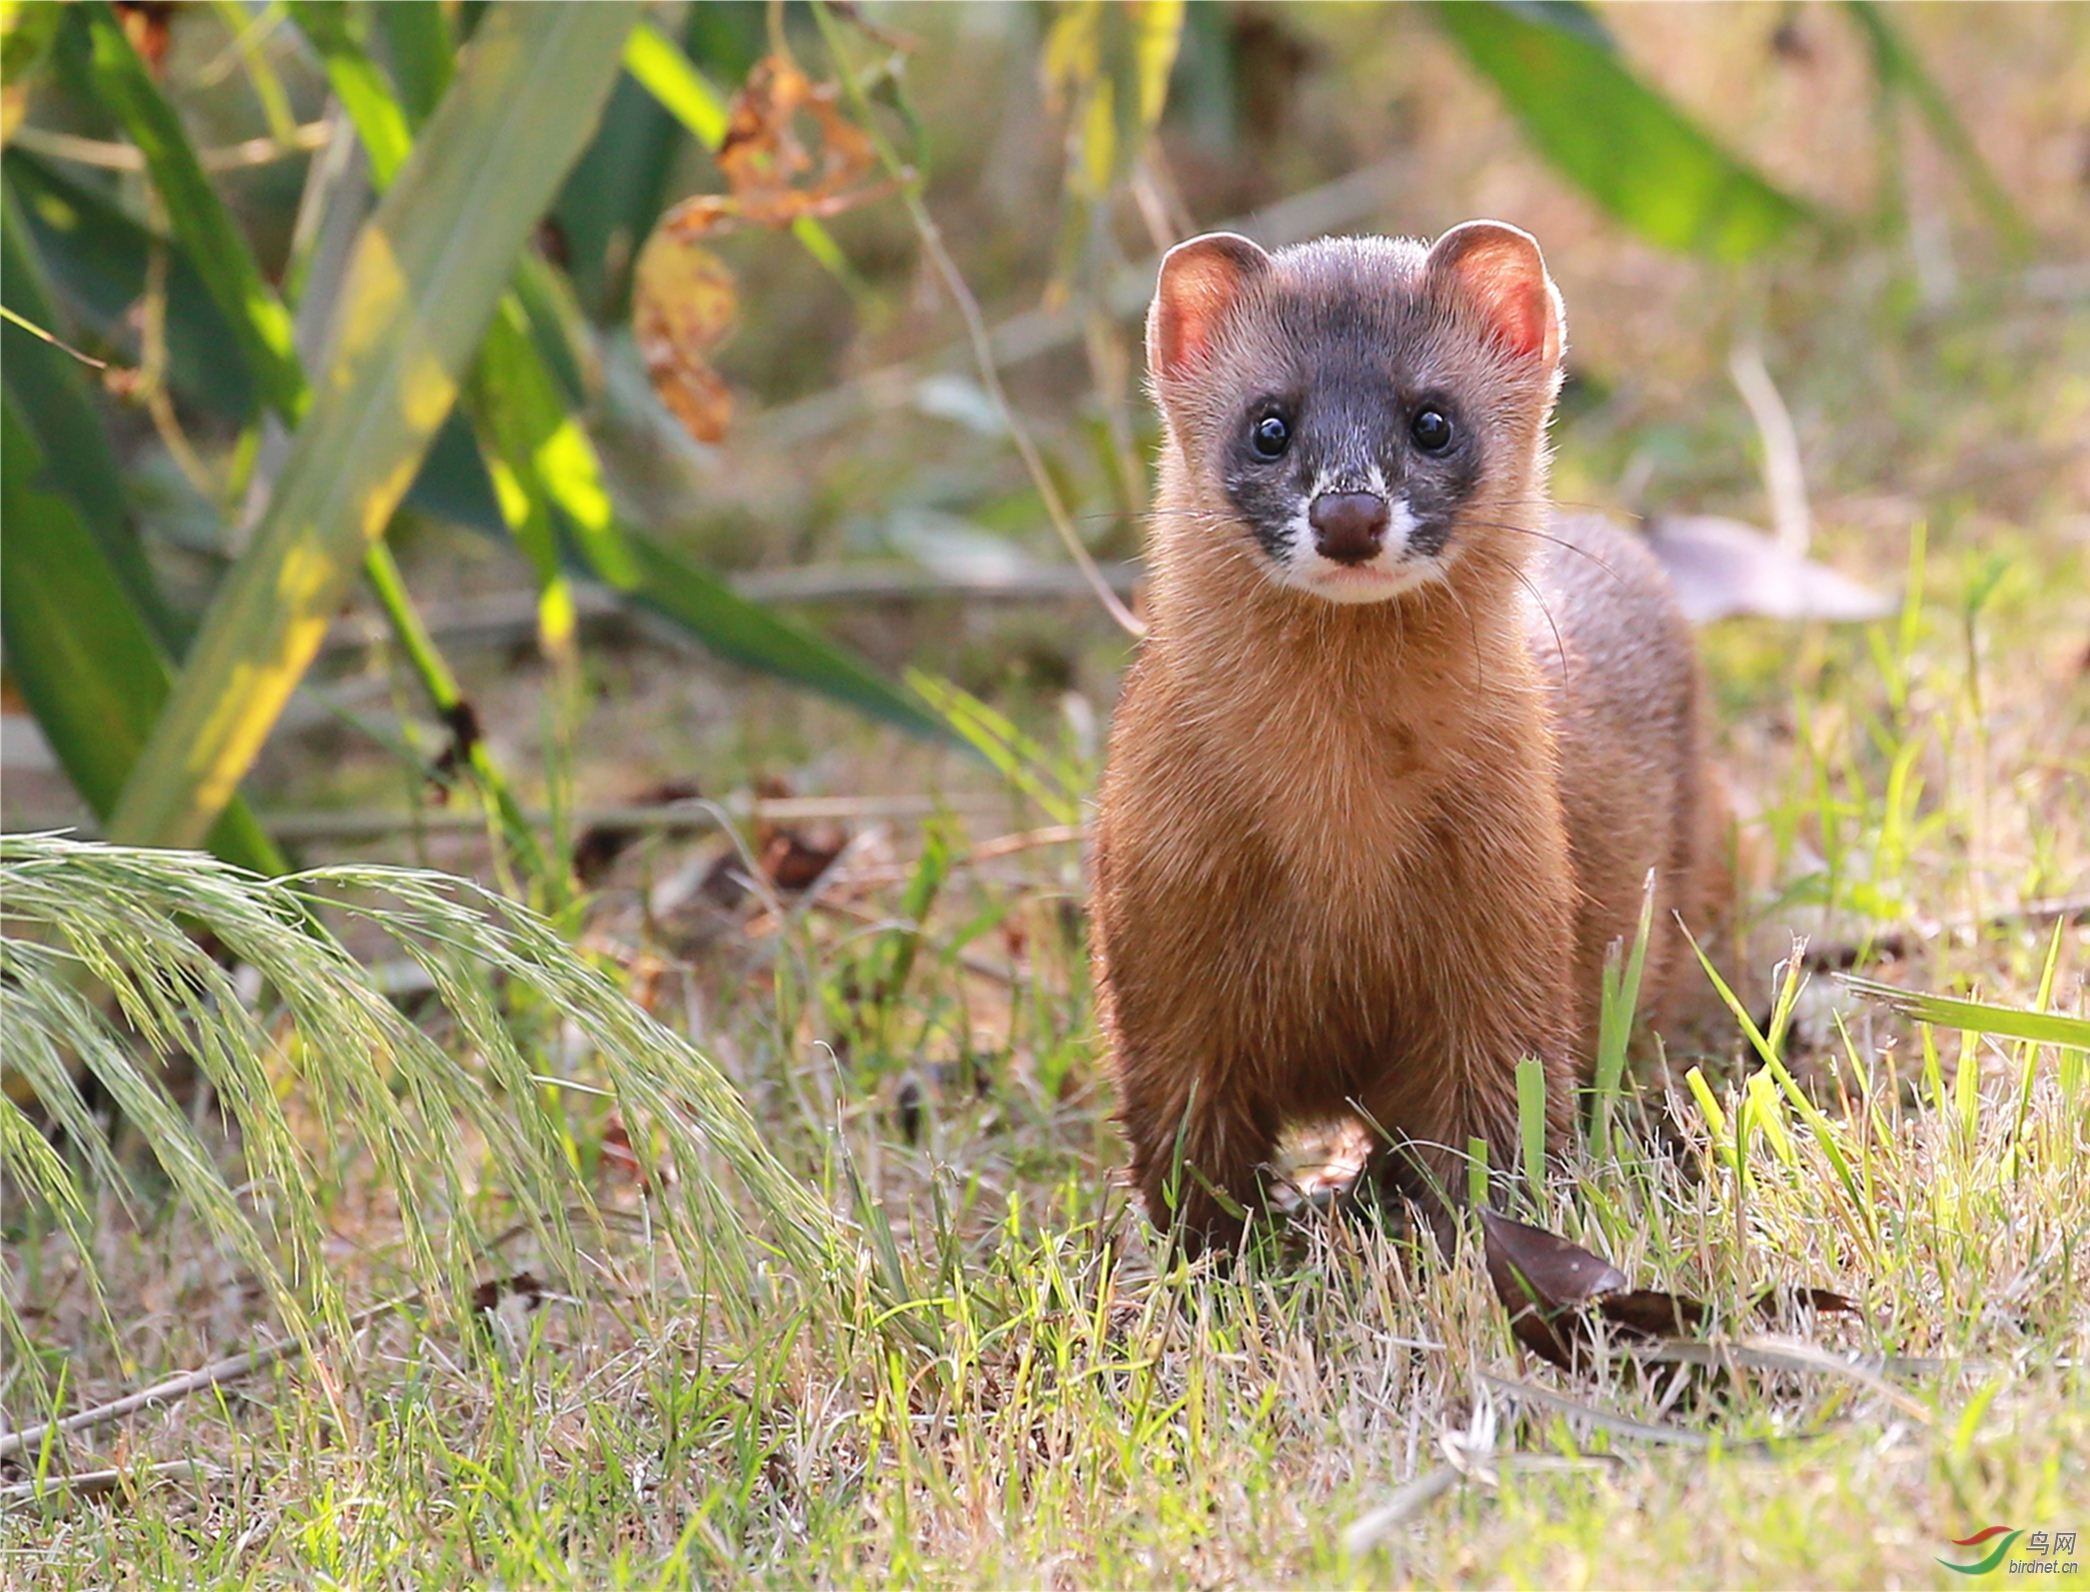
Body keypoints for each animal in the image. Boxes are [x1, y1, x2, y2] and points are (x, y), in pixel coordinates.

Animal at [1095, 220, 1730, 1236]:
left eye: (1433, 419)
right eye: (1268, 424)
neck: (1341, 841)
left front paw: (1477, 1222)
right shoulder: (1158, 929)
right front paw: (1220, 1249)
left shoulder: (1511, 905)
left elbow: (1500, 1111)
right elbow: (1185, 1138)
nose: (1349, 510)